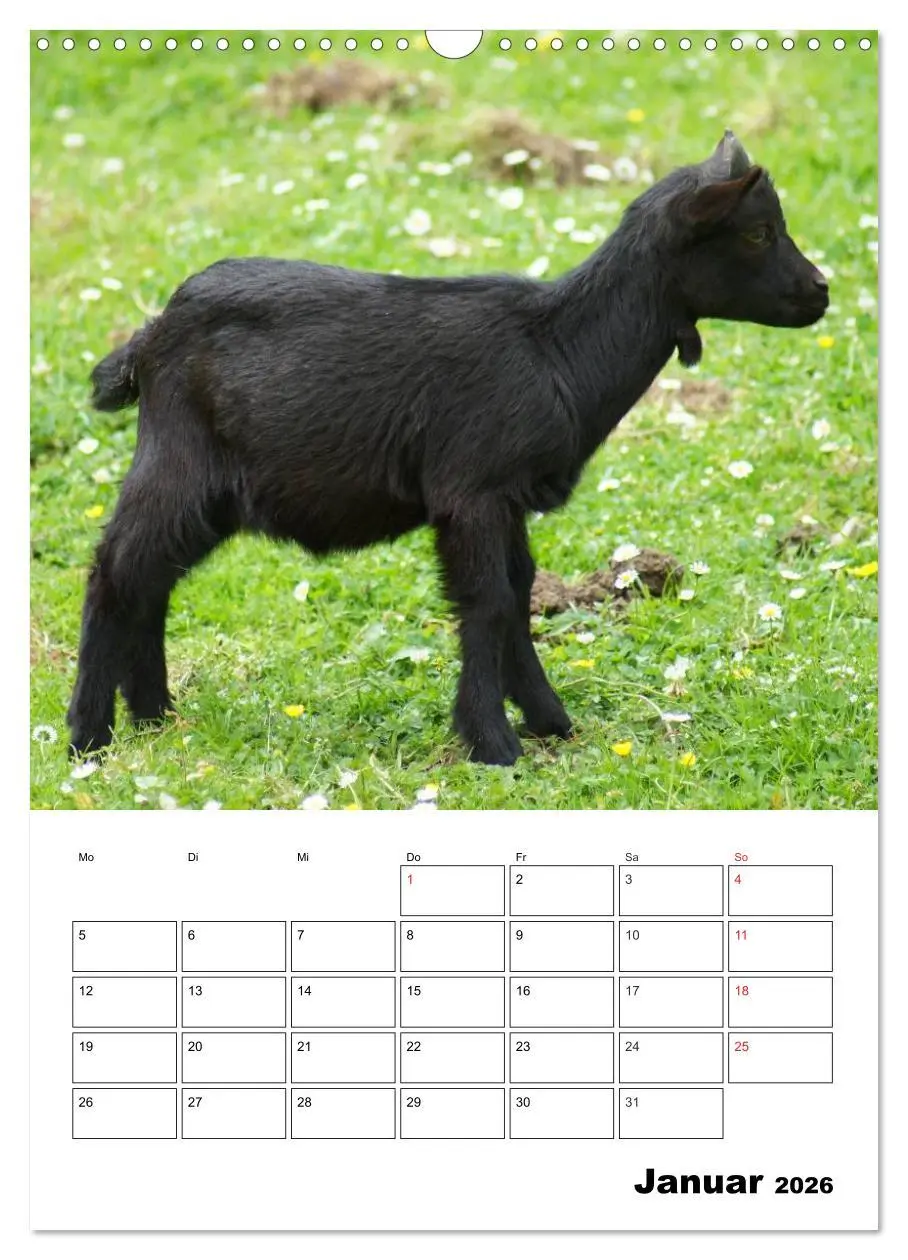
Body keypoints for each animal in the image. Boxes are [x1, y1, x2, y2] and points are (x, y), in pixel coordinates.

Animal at [67, 131, 829, 765]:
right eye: (759, 231)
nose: (821, 291)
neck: (557, 349)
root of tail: (150, 336)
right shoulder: (472, 489)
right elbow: (486, 601)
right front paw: (492, 742)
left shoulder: (508, 496)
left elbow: (518, 592)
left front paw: (551, 722)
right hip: (179, 461)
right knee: (116, 572)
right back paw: (88, 736)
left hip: (211, 490)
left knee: (153, 578)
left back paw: (154, 717)